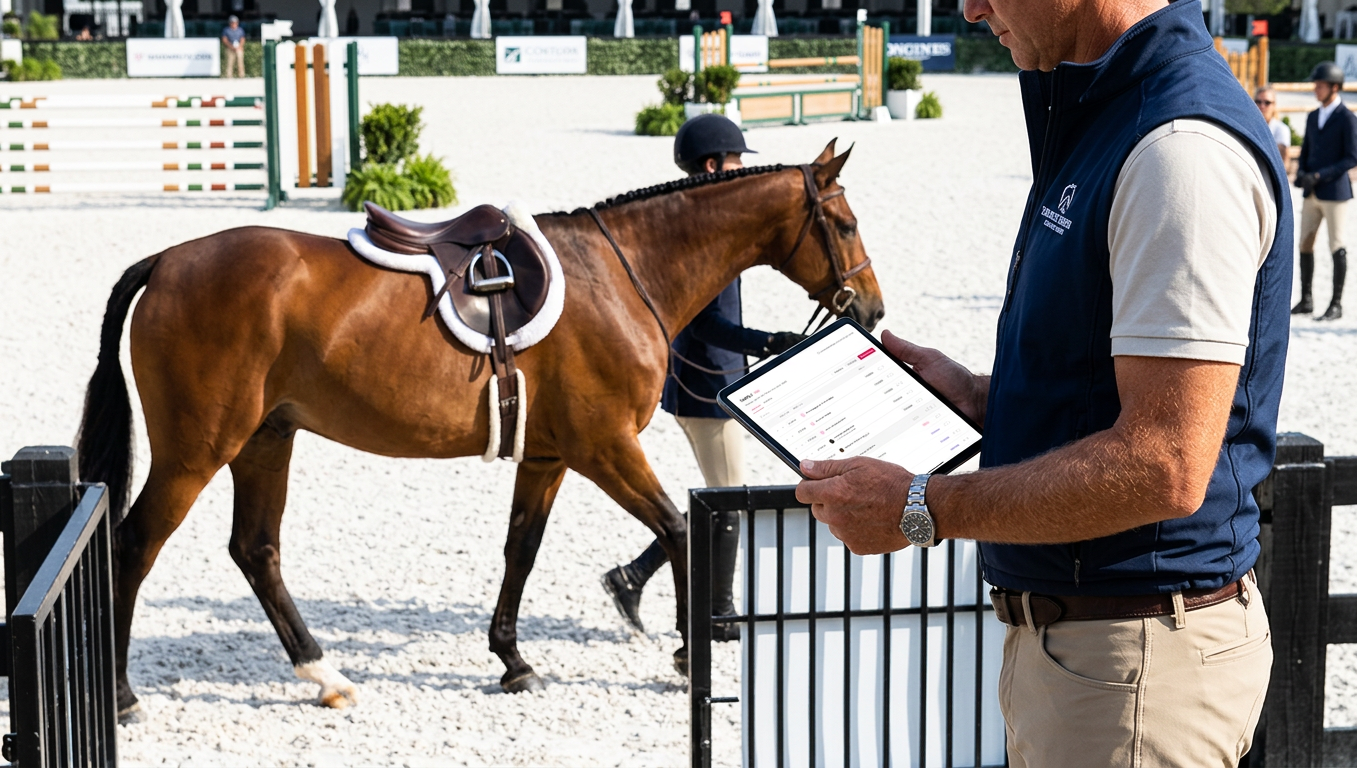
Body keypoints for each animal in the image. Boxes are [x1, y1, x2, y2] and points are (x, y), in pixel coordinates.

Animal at [76, 140, 884, 717]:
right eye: (844, 224)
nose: (871, 310)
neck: (621, 274)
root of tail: (168, 261)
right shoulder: (604, 448)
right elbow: (679, 530)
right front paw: (687, 657)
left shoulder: (551, 455)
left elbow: (520, 549)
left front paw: (512, 661)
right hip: (197, 450)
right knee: (135, 546)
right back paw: (121, 695)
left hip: (265, 440)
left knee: (256, 550)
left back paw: (325, 675)